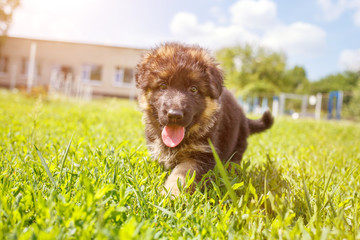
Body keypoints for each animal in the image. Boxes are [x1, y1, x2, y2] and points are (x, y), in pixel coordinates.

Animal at [135, 42, 272, 196]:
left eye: (193, 89)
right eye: (163, 86)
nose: (174, 115)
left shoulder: (202, 154)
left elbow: (182, 174)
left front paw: (172, 193)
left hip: (238, 141)